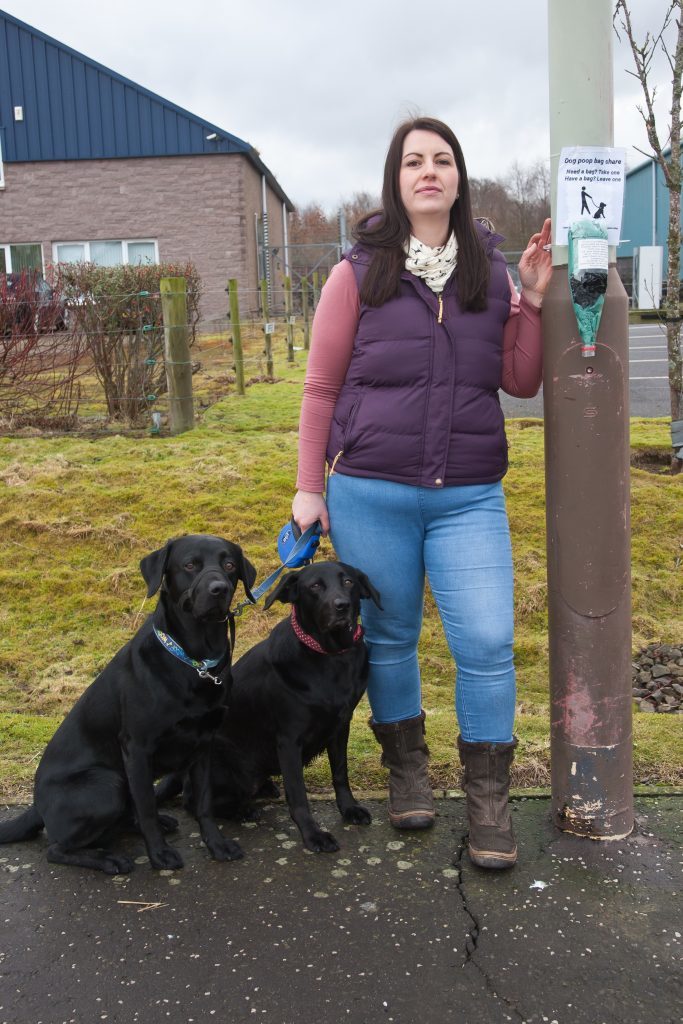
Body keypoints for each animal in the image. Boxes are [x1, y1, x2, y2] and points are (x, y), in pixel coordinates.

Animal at [0, 532, 254, 876]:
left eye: (229, 565)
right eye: (190, 565)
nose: (220, 589)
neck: (196, 661)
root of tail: (37, 806)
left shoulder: (204, 745)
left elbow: (203, 804)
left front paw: (216, 845)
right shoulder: (137, 749)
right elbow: (146, 807)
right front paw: (159, 855)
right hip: (108, 784)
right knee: (56, 848)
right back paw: (109, 860)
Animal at [179, 565, 382, 851]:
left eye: (348, 582)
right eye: (315, 586)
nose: (342, 606)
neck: (330, 657)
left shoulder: (341, 726)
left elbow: (340, 774)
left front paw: (349, 808)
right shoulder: (288, 740)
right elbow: (297, 795)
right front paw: (312, 835)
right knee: (192, 801)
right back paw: (242, 809)